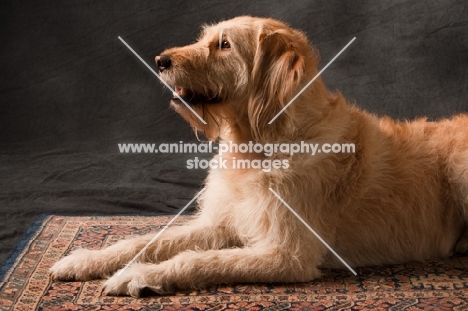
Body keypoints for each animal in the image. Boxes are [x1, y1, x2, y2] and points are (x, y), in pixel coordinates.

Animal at [50, 16, 468, 298]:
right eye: (204, 38)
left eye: (224, 45)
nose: (159, 60)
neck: (258, 145)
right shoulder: (220, 224)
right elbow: (146, 240)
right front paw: (85, 260)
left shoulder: (288, 255)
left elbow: (199, 260)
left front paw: (139, 275)